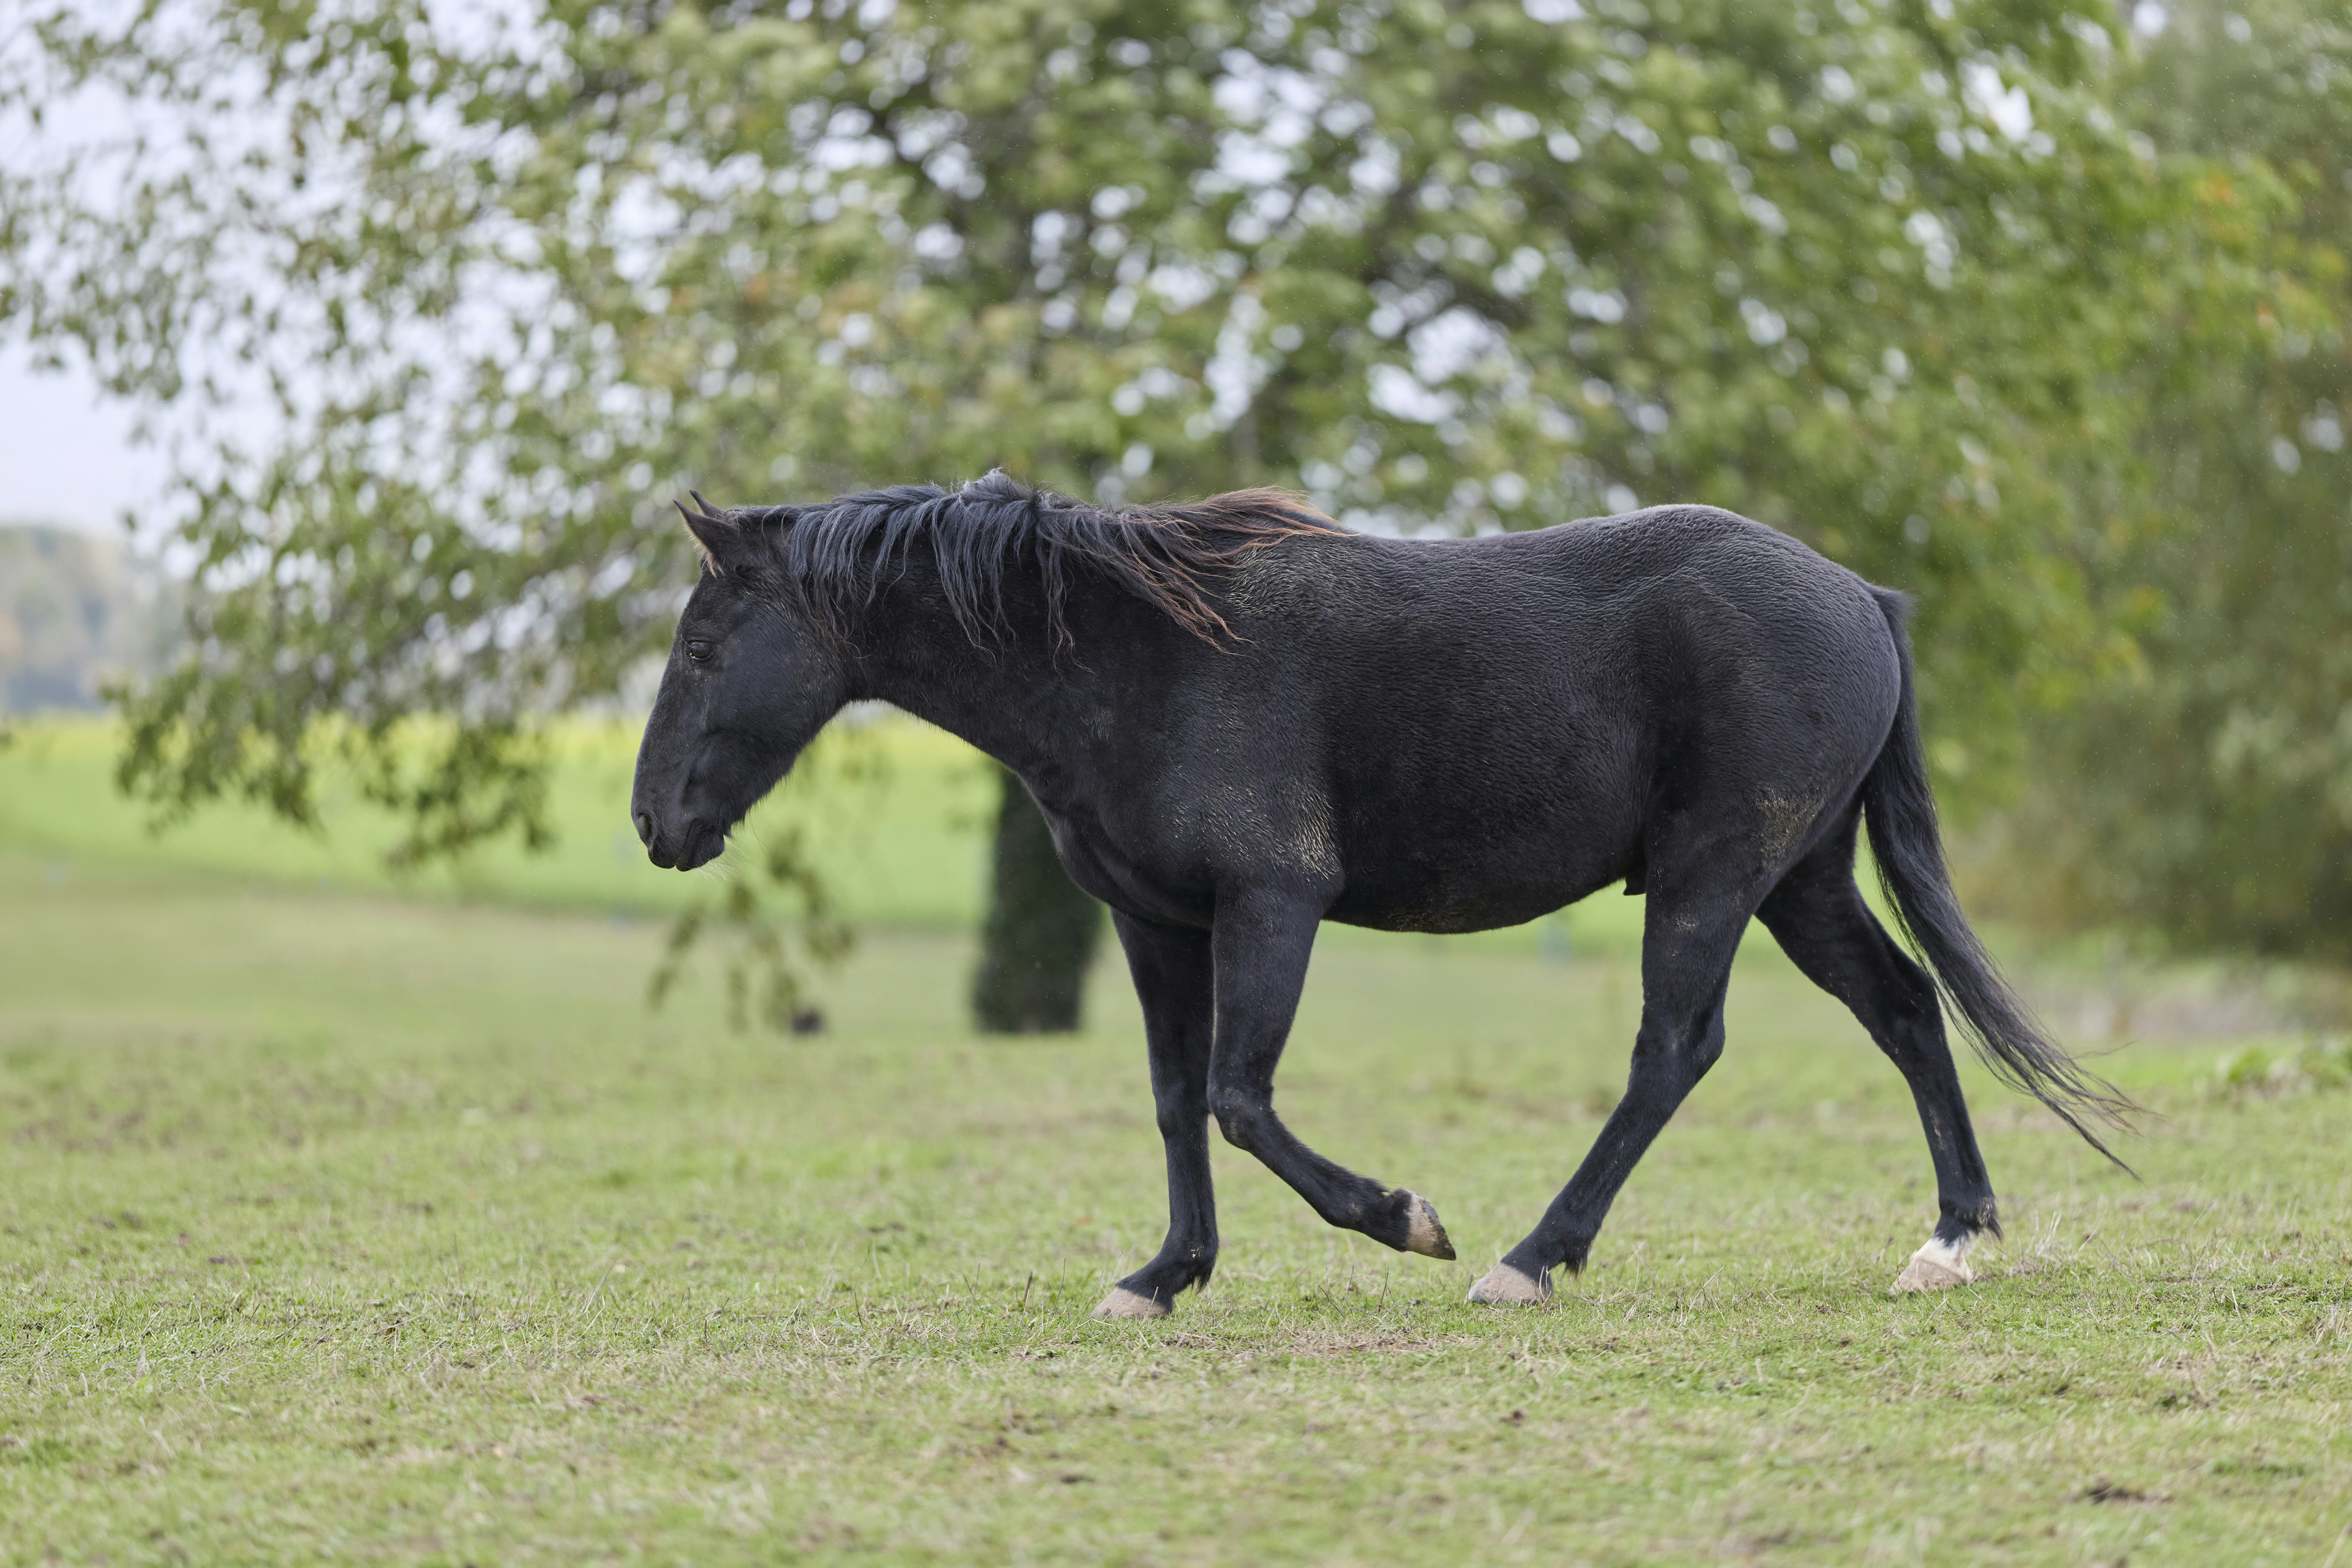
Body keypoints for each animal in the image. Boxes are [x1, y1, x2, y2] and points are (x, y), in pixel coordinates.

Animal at [630, 472, 2131, 1316]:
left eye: (703, 645)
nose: (652, 822)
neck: (1136, 653)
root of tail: (1862, 596)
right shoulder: (1155, 920)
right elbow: (1177, 1097)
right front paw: (1161, 1276)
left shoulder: (1271, 900)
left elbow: (1241, 1097)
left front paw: (1404, 1218)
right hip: (1797, 879)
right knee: (1905, 1008)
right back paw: (1946, 1240)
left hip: (1716, 873)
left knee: (1673, 1049)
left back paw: (1527, 1256)